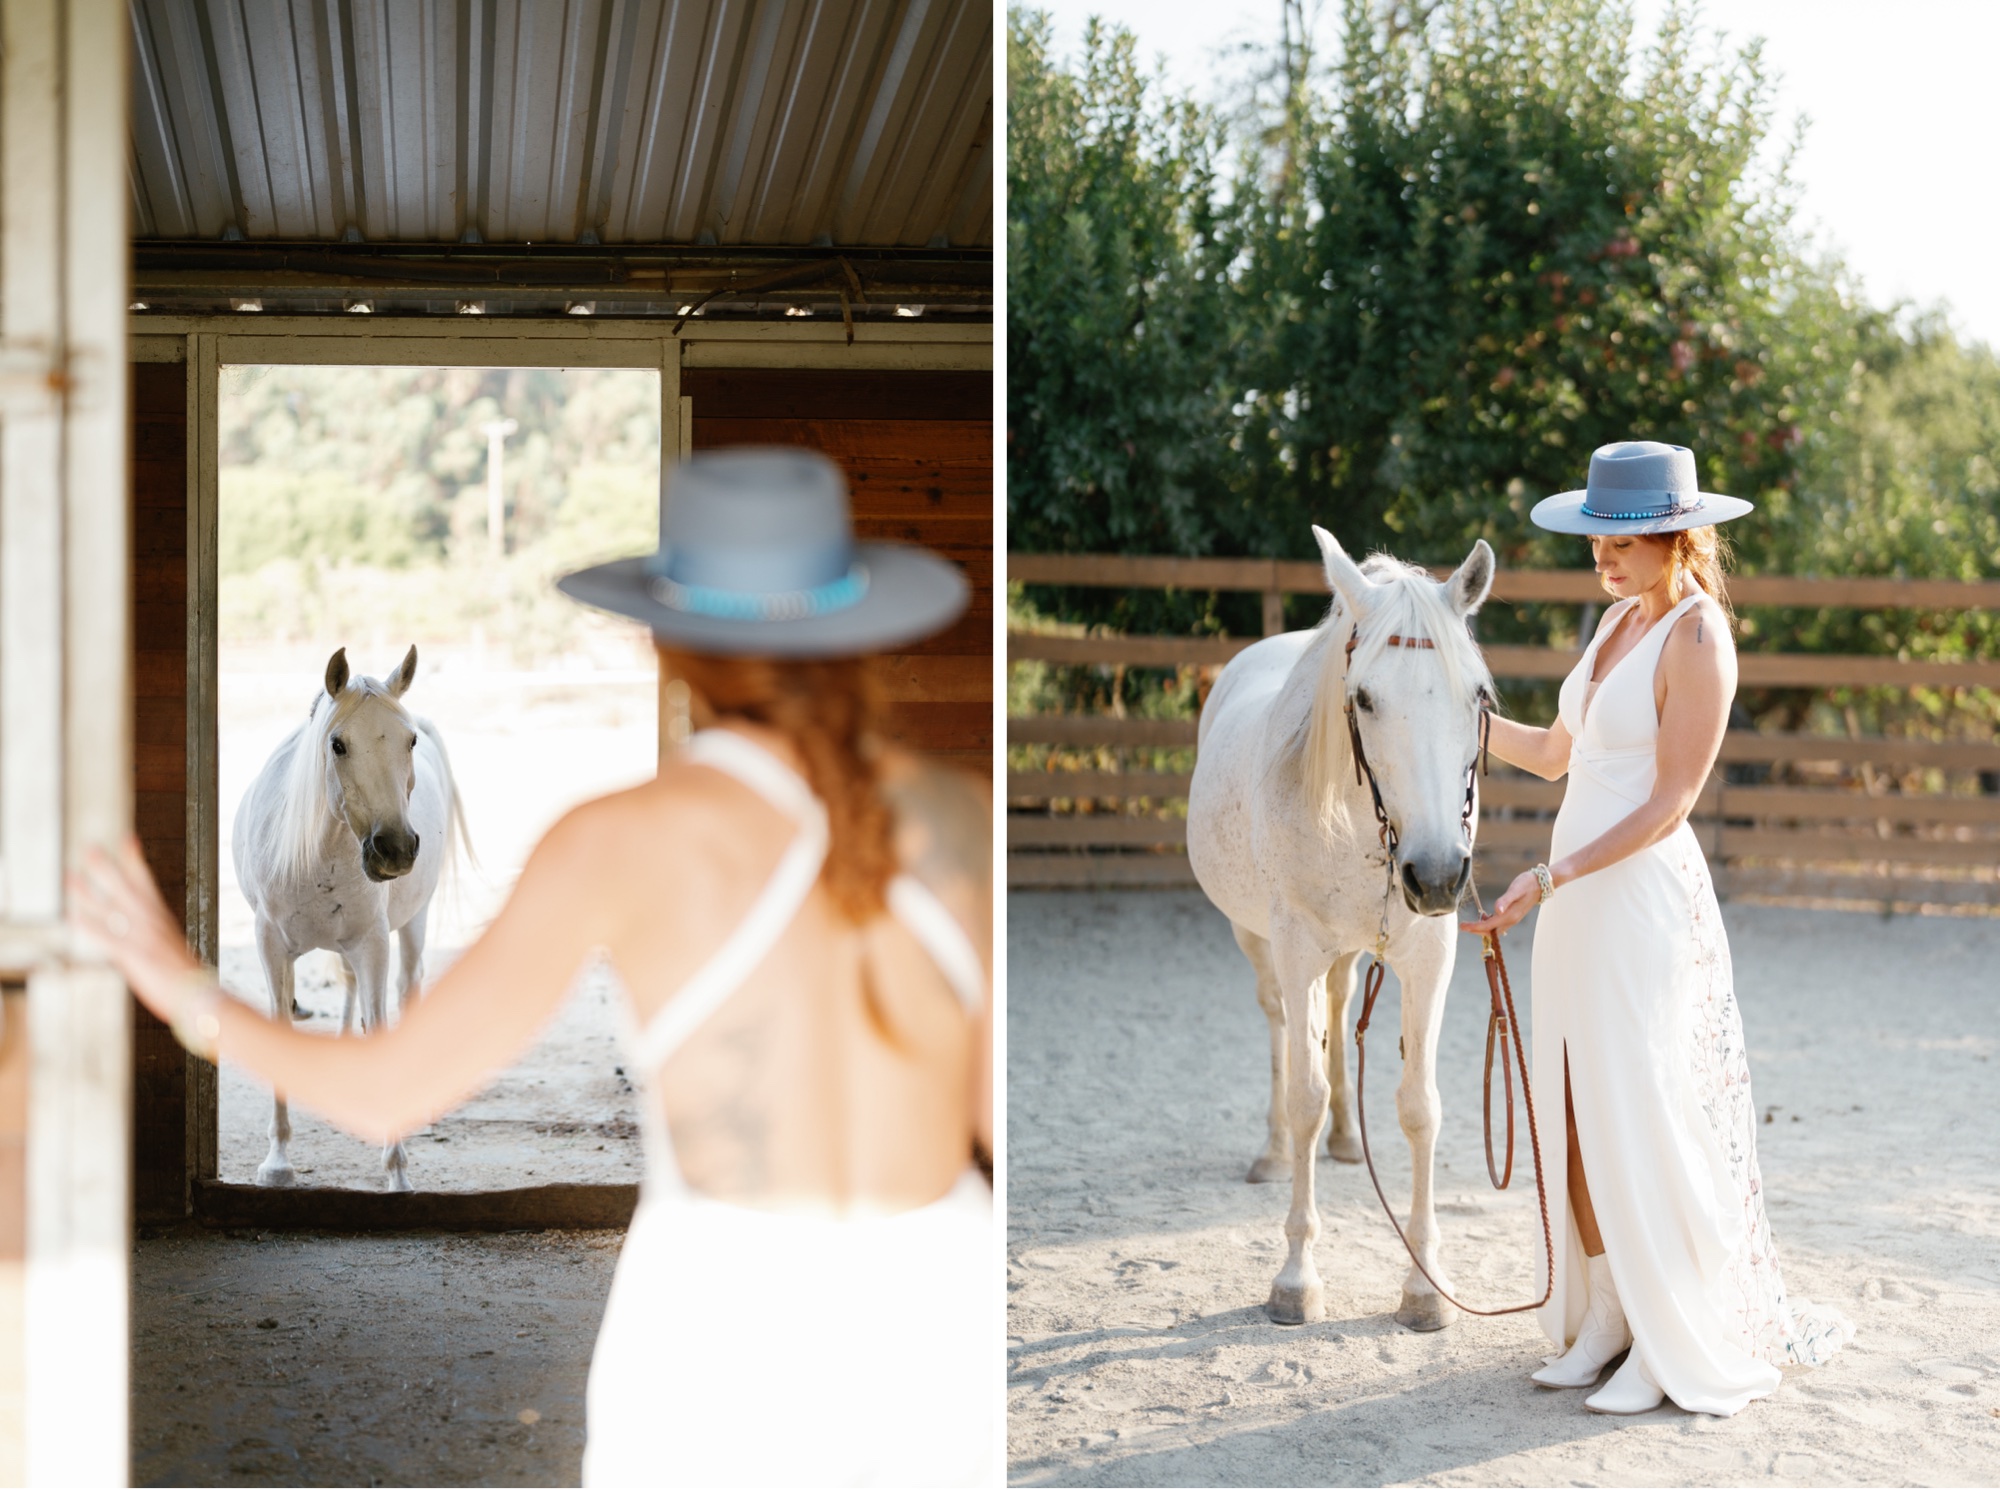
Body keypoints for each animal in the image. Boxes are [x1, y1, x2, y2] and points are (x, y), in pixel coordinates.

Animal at [232, 644, 466, 1192]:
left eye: (410, 740)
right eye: (337, 744)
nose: (395, 849)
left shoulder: (373, 944)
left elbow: (380, 1025)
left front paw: (397, 1170)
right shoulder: (271, 945)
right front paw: (277, 1161)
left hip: (413, 924)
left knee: (407, 987)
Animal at [1184, 520, 1488, 1328]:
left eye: (1477, 695)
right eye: (1365, 699)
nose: (1437, 873)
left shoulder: (1429, 954)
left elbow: (1419, 1108)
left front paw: (1425, 1287)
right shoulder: (1293, 945)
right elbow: (1304, 1097)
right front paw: (1295, 1278)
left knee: (1340, 1005)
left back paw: (1350, 1142)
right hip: (1257, 940)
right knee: (1282, 1030)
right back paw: (1271, 1152)